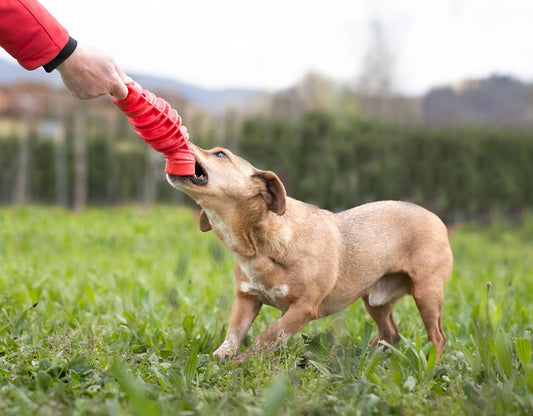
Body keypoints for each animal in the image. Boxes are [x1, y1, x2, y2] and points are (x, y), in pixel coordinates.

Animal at [167, 144, 454, 364]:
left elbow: (269, 335)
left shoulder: (304, 308)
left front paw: (241, 363)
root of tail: (439, 220)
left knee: (437, 337)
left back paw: (429, 367)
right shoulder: (246, 299)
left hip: (426, 294)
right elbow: (233, 334)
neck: (259, 247)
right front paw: (219, 357)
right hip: (375, 301)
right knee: (390, 333)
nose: (184, 141)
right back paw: (364, 360)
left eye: (220, 154)